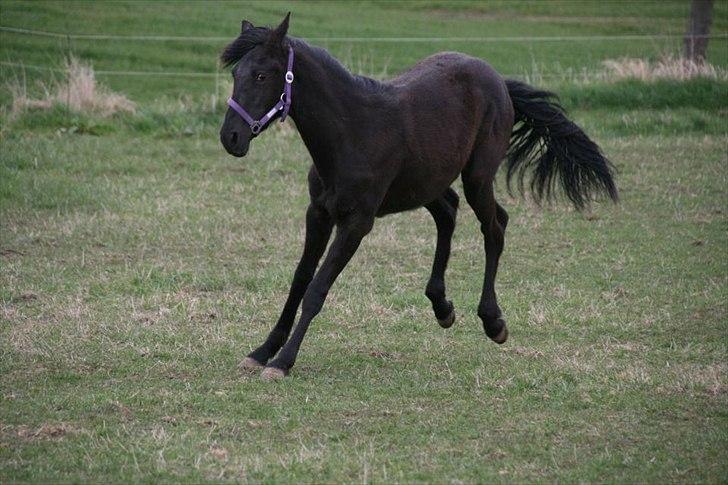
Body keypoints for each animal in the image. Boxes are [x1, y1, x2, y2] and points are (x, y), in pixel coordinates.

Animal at [219, 14, 616, 378]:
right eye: (236, 74)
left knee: (495, 226)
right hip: (427, 181)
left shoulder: (356, 223)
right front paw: (261, 352)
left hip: (477, 177)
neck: (353, 131)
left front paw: (282, 362)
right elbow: (300, 279)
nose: (231, 138)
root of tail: (498, 80)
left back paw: (493, 322)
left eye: (261, 76)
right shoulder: (318, 213)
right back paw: (443, 307)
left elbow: (316, 289)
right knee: (449, 212)